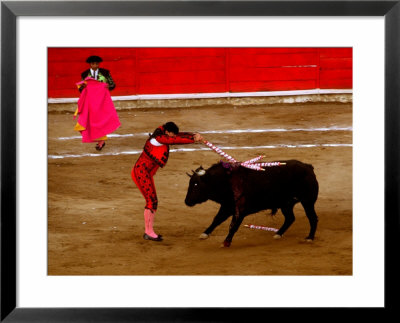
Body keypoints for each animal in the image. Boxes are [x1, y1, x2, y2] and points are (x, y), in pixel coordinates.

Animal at [184, 160, 318, 248]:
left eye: (196, 184)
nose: (187, 201)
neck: (227, 182)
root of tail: (308, 167)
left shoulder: (240, 211)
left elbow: (233, 226)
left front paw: (226, 242)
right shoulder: (227, 206)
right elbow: (216, 220)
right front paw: (204, 234)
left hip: (307, 201)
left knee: (312, 218)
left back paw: (309, 238)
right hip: (286, 204)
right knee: (290, 218)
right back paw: (278, 234)